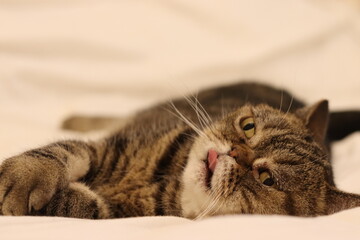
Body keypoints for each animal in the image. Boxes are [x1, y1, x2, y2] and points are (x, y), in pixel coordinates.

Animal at [0, 82, 360, 219]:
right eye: (248, 128)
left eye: (266, 179)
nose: (232, 153)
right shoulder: (108, 148)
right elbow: (61, 151)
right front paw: (26, 175)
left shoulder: (115, 214)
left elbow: (77, 204)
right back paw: (73, 118)